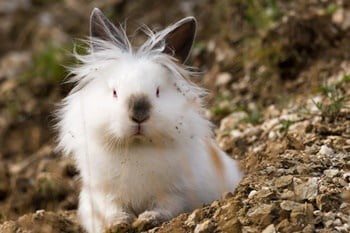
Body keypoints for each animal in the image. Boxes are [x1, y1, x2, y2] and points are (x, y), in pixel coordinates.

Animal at [56, 8, 242, 233]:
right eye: (115, 92)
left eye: (158, 91)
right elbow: (112, 210)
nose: (139, 114)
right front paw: (119, 223)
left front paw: (147, 219)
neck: (136, 147)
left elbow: (166, 208)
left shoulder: (174, 193)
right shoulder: (102, 195)